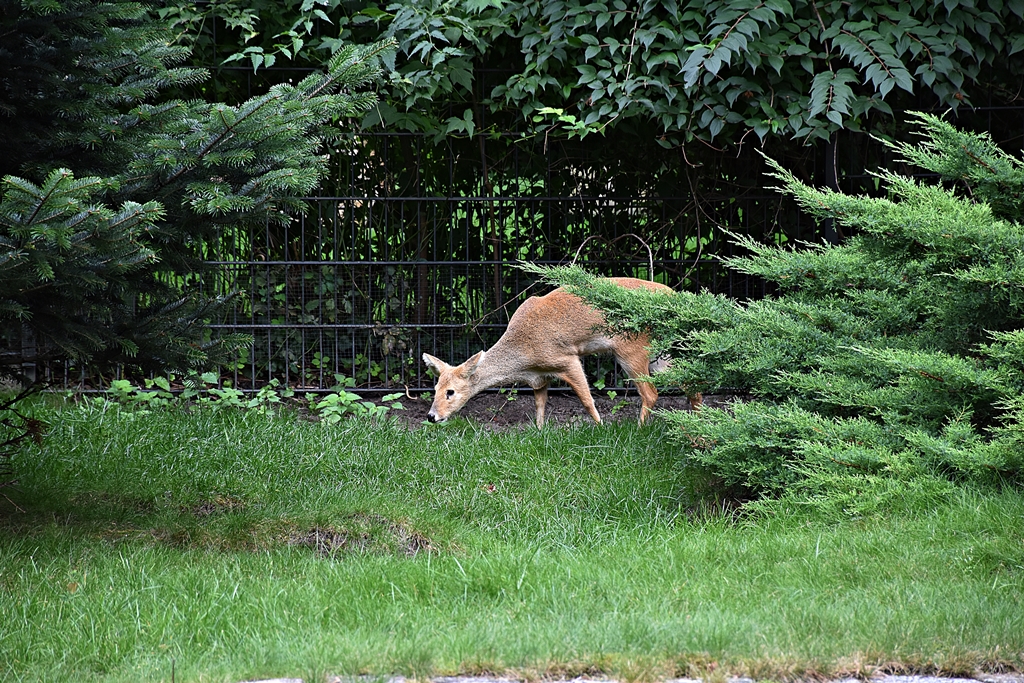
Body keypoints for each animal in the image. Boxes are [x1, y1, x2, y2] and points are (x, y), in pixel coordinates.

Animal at [422, 277, 673, 428]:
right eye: (435, 388)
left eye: (451, 392)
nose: (431, 416)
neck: (524, 353)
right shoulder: (540, 376)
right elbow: (540, 404)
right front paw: (539, 430)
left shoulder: (567, 358)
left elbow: (586, 399)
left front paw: (601, 427)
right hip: (659, 354)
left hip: (632, 349)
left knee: (650, 393)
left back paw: (639, 429)